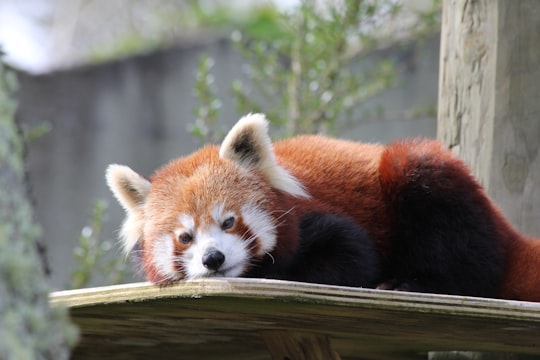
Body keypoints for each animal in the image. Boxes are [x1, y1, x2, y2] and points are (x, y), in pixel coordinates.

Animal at [105, 113, 540, 300]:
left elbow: (352, 257)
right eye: (185, 237)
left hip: (431, 189)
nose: (213, 259)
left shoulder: (316, 219)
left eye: (228, 222)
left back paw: (413, 282)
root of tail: (506, 231)